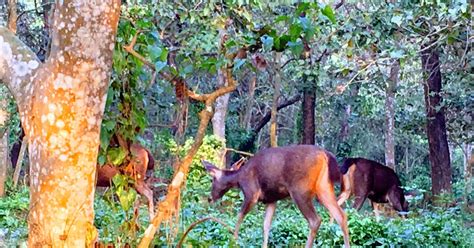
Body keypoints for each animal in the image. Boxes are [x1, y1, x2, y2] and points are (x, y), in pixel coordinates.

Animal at [202, 145, 350, 248]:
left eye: (212, 180)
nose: (210, 198)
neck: (239, 179)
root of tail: (325, 155)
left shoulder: (251, 193)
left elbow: (239, 217)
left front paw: (234, 241)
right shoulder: (272, 199)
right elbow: (266, 225)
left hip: (300, 190)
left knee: (315, 220)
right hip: (323, 187)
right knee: (341, 215)